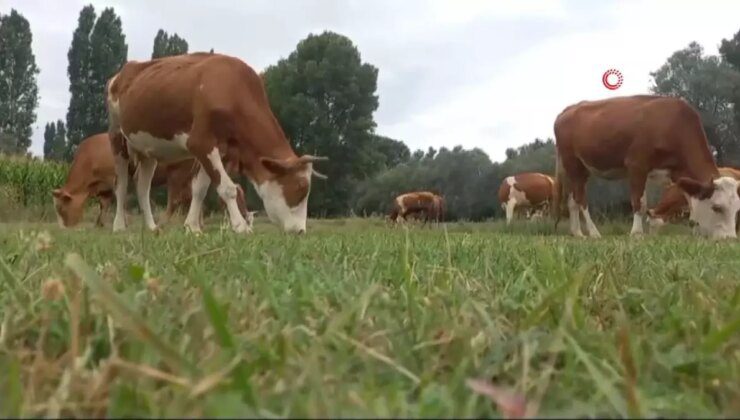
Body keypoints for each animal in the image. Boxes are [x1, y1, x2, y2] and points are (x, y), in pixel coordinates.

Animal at [53, 133, 253, 228]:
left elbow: (120, 200)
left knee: (176, 199)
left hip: (177, 174)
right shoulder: (105, 187)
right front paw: (100, 223)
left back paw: (163, 221)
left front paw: (122, 222)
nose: (64, 227)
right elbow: (106, 203)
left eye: (61, 208)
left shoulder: (114, 178)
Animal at [105, 52, 326, 235]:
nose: (300, 231)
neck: (232, 90)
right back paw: (118, 226)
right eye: (301, 188)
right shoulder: (200, 142)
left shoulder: (219, 150)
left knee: (143, 187)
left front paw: (192, 227)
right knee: (122, 185)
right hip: (117, 139)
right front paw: (240, 226)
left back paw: (152, 227)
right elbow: (228, 188)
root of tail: (123, 72)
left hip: (148, 150)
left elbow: (200, 189)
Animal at [556, 95, 740, 240]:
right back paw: (593, 232)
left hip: (580, 169)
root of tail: (568, 110)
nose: (730, 238)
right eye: (717, 207)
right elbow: (639, 201)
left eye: (737, 209)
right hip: (572, 163)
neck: (672, 124)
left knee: (572, 201)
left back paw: (577, 233)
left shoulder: (677, 175)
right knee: (581, 199)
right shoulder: (636, 165)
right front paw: (636, 233)